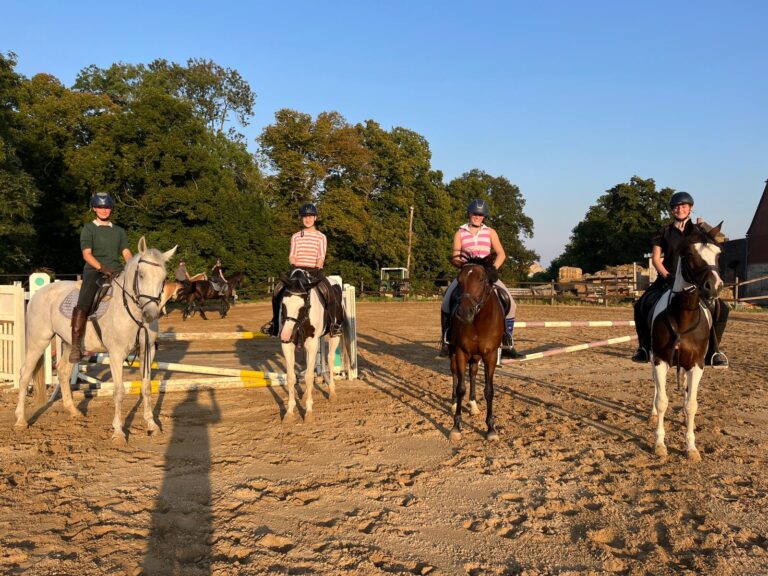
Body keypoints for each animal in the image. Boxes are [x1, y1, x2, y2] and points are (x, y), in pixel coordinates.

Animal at [15, 236, 177, 444]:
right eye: (141, 275)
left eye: (163, 277)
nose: (151, 314)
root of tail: (39, 292)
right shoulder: (116, 354)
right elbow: (118, 391)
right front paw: (118, 432)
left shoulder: (147, 351)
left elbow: (147, 387)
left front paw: (152, 425)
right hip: (38, 341)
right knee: (25, 374)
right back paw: (21, 420)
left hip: (70, 345)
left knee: (63, 372)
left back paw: (73, 411)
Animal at [280, 268, 342, 420]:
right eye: (283, 305)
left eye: (303, 306)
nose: (285, 336)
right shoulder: (288, 345)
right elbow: (291, 377)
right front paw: (289, 413)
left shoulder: (313, 343)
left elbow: (308, 377)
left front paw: (308, 412)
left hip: (335, 335)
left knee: (330, 359)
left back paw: (332, 392)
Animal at [448, 254, 508, 438]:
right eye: (459, 280)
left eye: (482, 279)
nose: (464, 312)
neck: (478, 322)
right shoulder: (460, 352)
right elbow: (461, 387)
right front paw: (456, 426)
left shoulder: (491, 355)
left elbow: (489, 390)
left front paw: (491, 429)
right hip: (454, 353)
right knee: (455, 374)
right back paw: (454, 403)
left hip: (475, 356)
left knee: (473, 373)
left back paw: (473, 405)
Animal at [648, 223, 728, 462]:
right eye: (690, 253)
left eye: (718, 254)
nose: (714, 286)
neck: (683, 317)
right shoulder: (661, 360)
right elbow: (662, 400)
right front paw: (659, 444)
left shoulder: (696, 364)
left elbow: (691, 404)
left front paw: (691, 447)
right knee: (657, 388)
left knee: (684, 389)